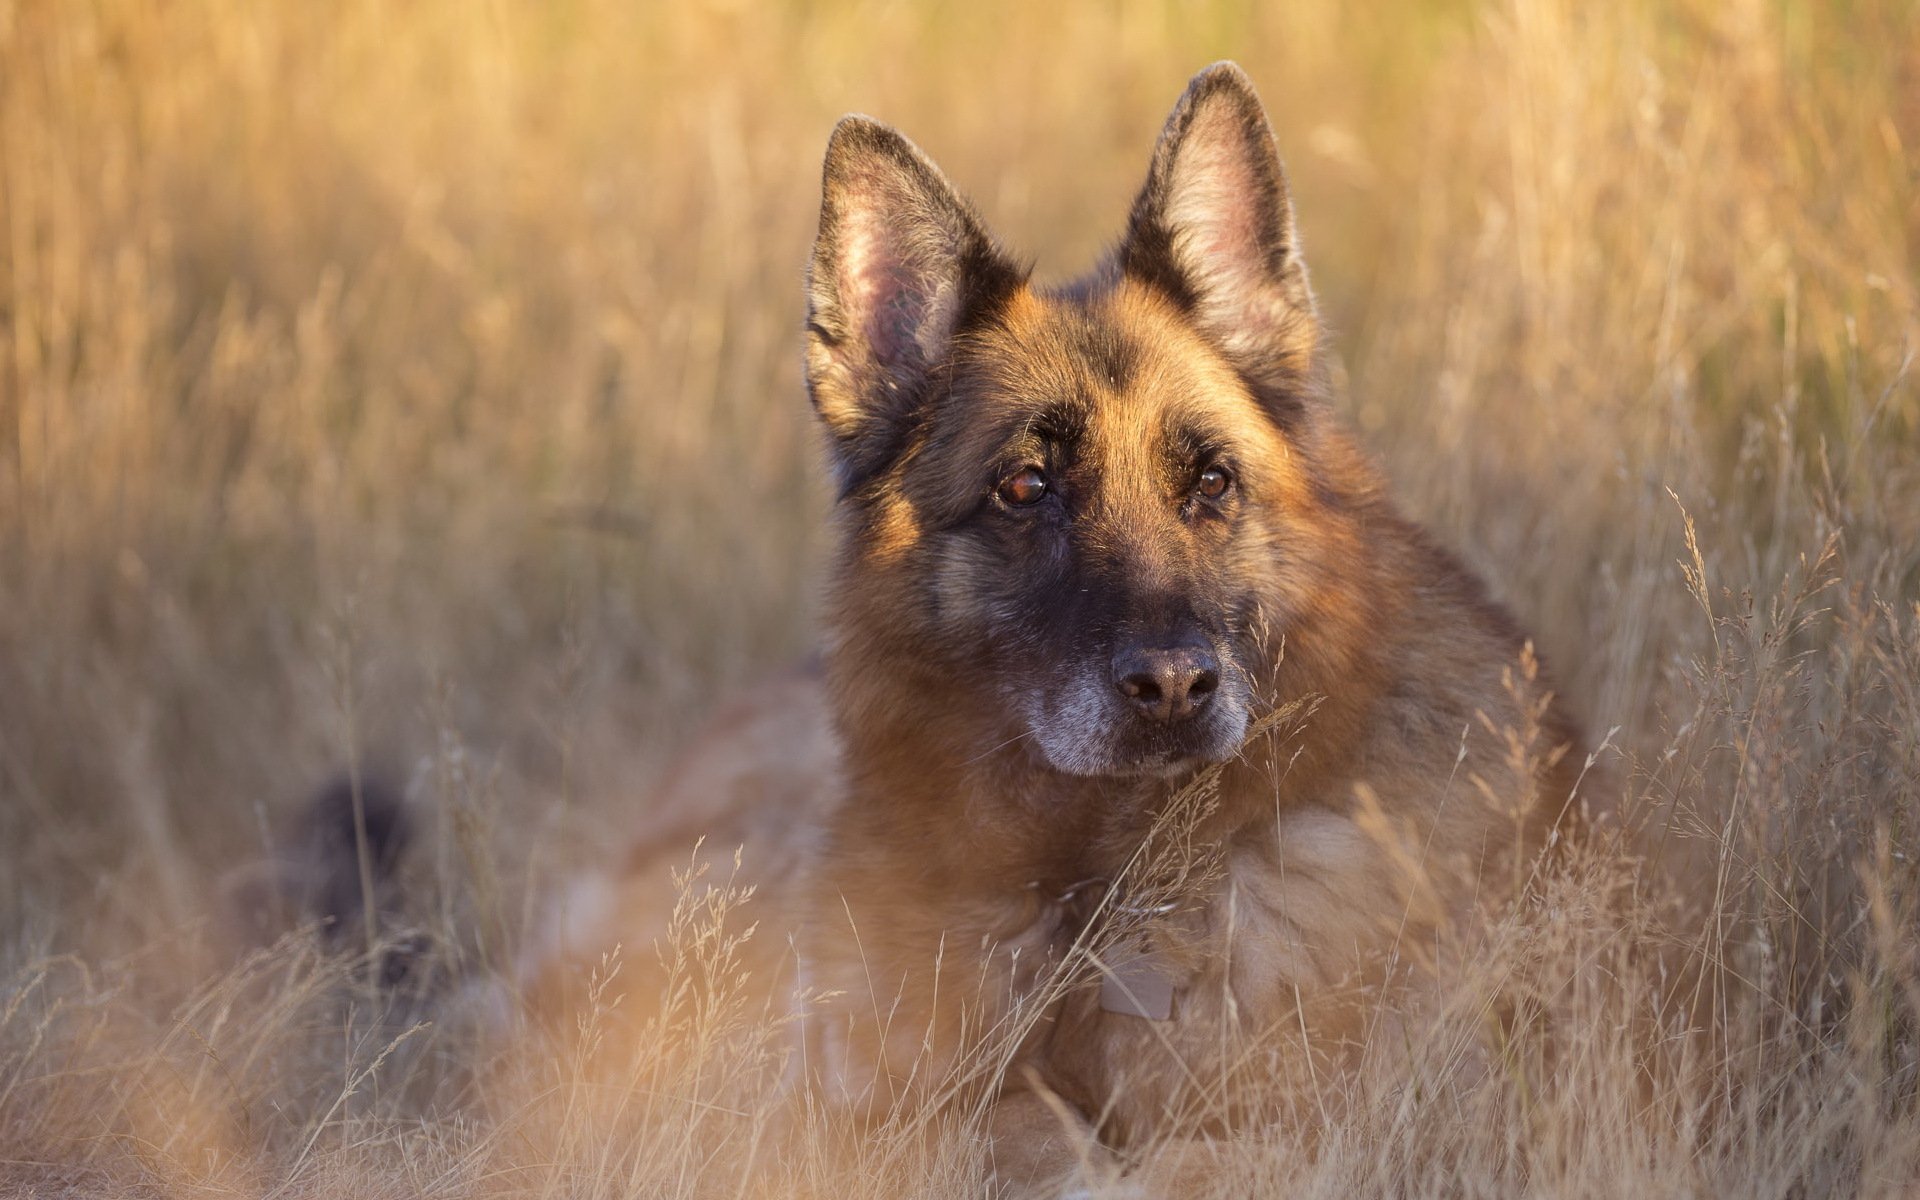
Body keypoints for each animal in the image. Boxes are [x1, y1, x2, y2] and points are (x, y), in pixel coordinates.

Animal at [522, 63, 1574, 1190]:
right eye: (1026, 488)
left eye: (1212, 483)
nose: (1174, 689)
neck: (1099, 890)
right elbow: (1020, 1124)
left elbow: (1201, 1155)